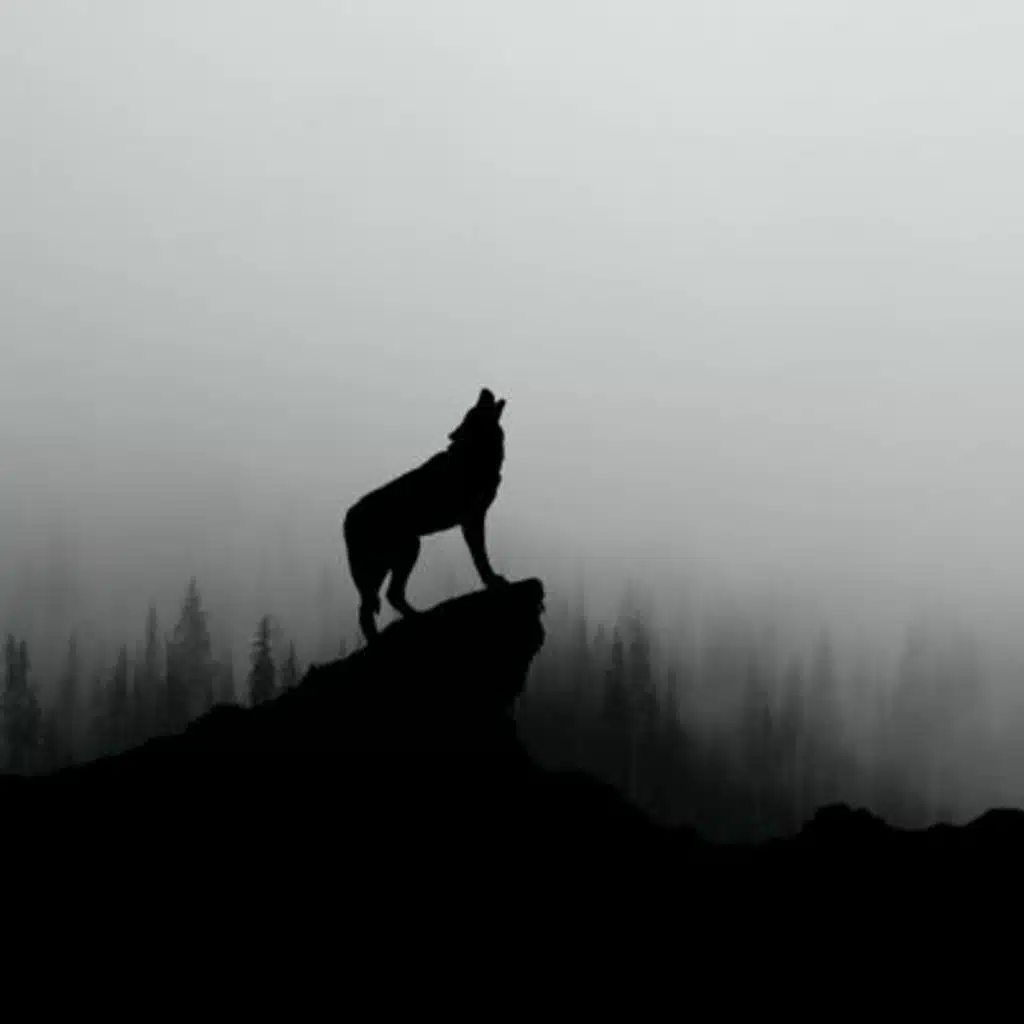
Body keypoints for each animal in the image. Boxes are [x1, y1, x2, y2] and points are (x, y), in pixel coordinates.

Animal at [343, 388, 509, 643]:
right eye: (476, 406)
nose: (484, 389)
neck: (473, 455)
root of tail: (348, 516)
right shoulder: (472, 520)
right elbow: (480, 558)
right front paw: (492, 581)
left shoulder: (474, 519)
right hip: (404, 553)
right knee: (376, 603)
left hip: (392, 560)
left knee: (378, 602)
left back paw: (411, 619)